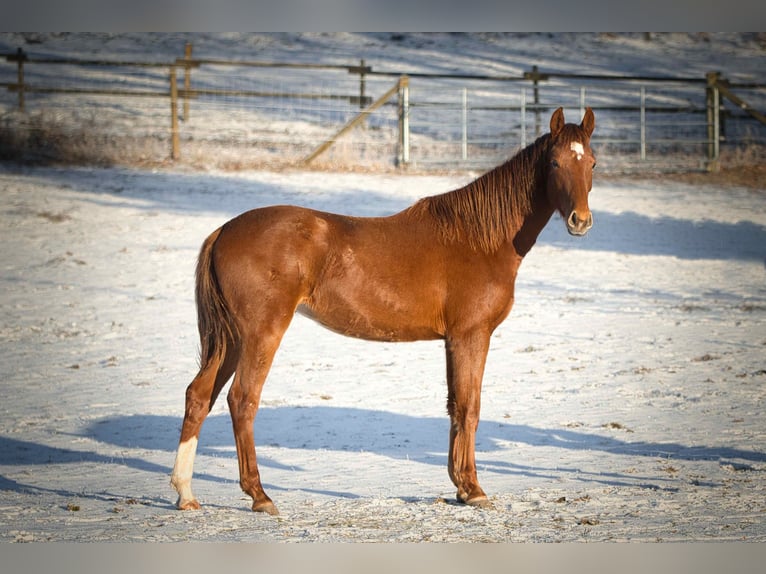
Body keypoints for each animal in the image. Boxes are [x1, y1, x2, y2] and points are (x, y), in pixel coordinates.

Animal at [171, 108, 596, 516]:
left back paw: (185, 494)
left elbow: (455, 407)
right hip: (261, 333)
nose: (581, 221)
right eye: (555, 162)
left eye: (591, 162)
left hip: (231, 339)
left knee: (199, 395)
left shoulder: (453, 340)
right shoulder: (470, 335)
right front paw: (473, 490)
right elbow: (469, 406)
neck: (477, 237)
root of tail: (224, 231)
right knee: (242, 400)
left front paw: (461, 487)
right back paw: (259, 496)